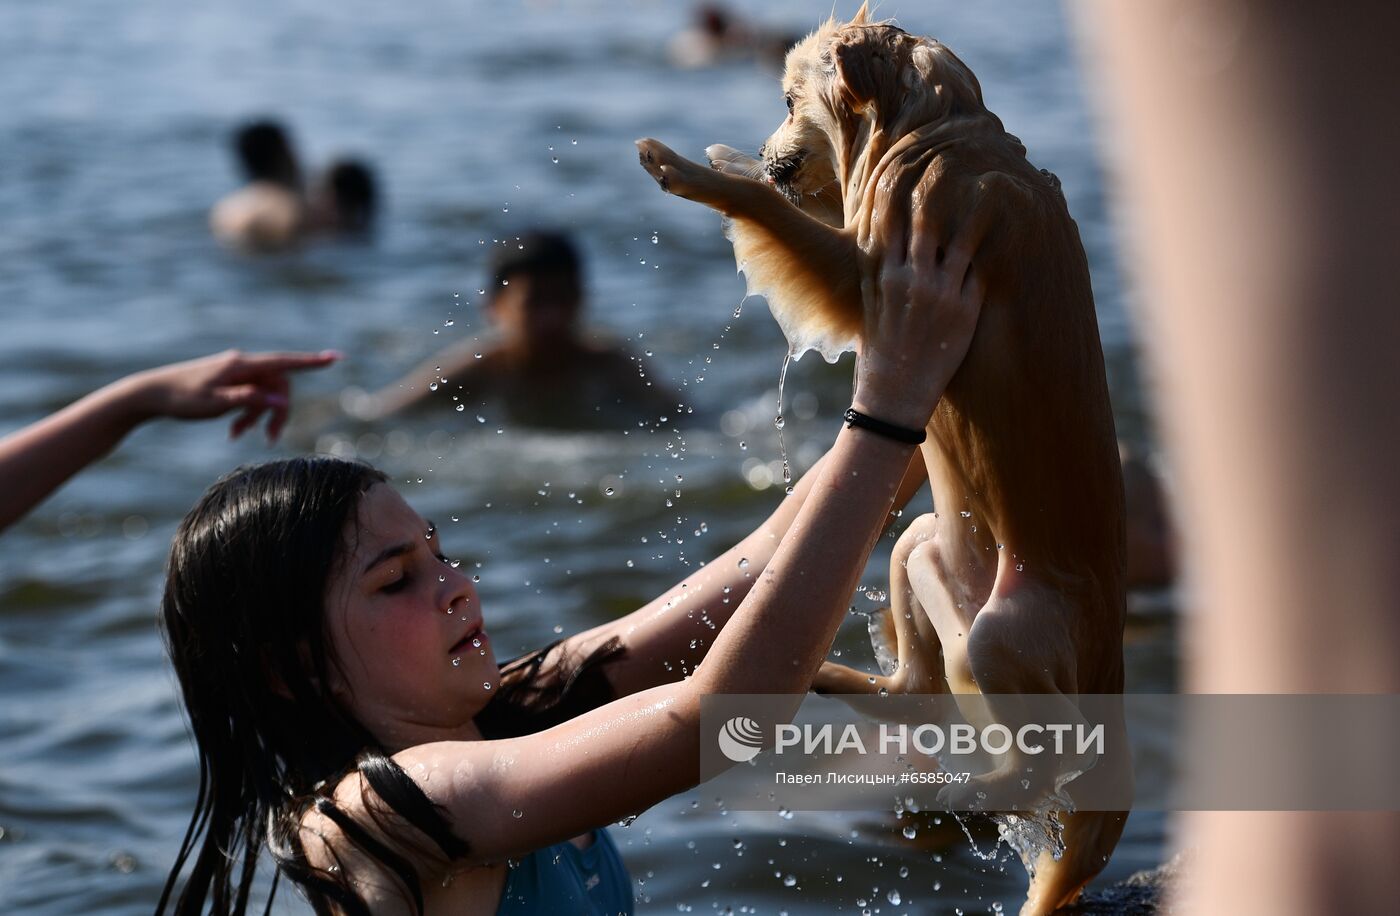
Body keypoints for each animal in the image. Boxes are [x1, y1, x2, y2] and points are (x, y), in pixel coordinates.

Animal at [641, 3, 1131, 913]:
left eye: (789, 96)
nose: (764, 148)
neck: (937, 134)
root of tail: (1113, 668)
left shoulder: (869, 272)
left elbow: (783, 220)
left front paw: (701, 171)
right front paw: (729, 164)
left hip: (1003, 637)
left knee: (1043, 763)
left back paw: (966, 786)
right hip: (921, 551)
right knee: (918, 690)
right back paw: (834, 683)